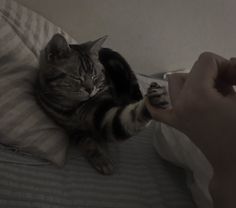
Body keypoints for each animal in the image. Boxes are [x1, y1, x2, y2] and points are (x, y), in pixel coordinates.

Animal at [34, 33, 168, 174]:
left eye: (94, 76)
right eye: (77, 78)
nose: (90, 89)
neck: (74, 107)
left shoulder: (105, 116)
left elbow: (131, 116)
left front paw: (156, 99)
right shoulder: (72, 130)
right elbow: (87, 143)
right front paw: (100, 158)